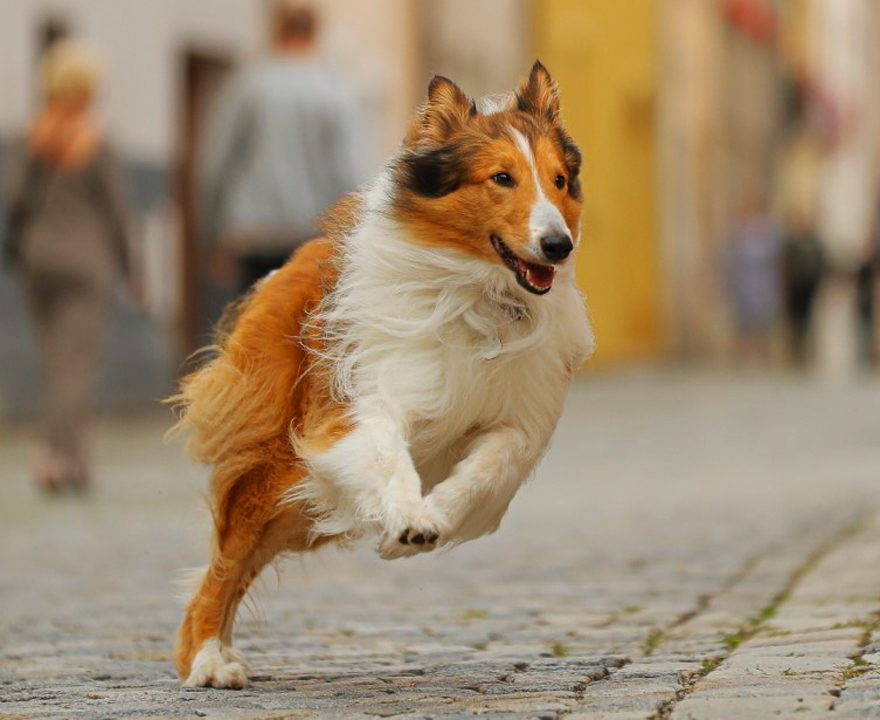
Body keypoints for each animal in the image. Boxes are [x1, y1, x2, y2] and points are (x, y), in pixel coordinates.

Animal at [168, 62, 596, 688]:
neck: (477, 294)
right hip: (276, 467)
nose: (557, 245)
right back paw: (206, 659)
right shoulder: (360, 404)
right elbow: (388, 458)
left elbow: (486, 471)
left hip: (297, 506)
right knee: (222, 566)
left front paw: (423, 526)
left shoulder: (516, 421)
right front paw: (410, 519)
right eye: (502, 178)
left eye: (560, 180)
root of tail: (284, 268)